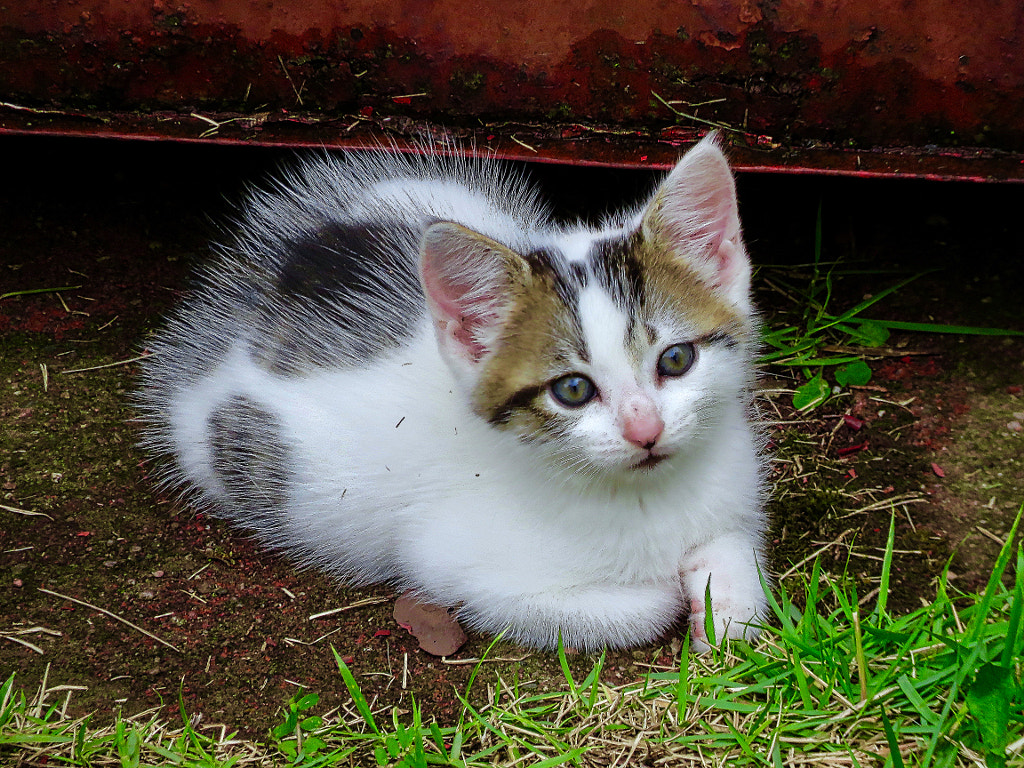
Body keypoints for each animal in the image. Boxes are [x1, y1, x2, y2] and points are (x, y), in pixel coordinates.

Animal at [140, 135, 770, 651]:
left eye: (676, 359)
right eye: (572, 389)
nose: (646, 431)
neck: (646, 497)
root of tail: (264, 277)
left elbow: (735, 555)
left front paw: (723, 604)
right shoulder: (457, 569)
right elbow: (628, 610)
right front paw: (670, 594)